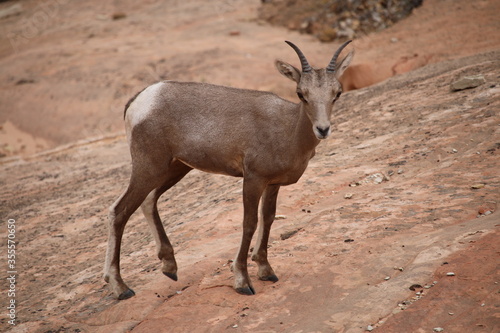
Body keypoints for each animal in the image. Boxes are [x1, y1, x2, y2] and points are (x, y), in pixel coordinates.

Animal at [103, 39, 354, 298]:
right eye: (301, 94)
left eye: (337, 93)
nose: (322, 129)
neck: (288, 130)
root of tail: (140, 100)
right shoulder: (253, 179)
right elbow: (249, 223)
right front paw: (243, 281)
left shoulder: (273, 184)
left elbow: (268, 219)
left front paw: (266, 271)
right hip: (149, 167)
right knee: (119, 211)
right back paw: (121, 288)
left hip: (175, 168)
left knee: (148, 201)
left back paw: (169, 267)